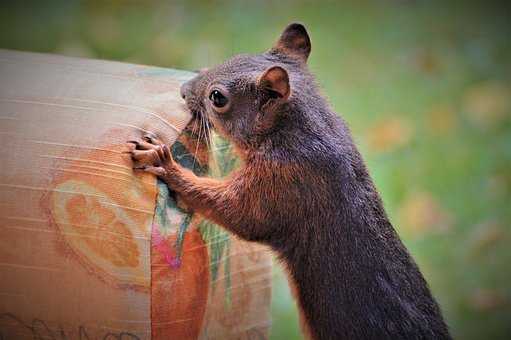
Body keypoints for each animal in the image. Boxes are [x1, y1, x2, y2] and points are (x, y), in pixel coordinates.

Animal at [127, 22, 452, 338]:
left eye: (217, 98)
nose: (184, 90)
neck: (297, 132)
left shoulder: (285, 183)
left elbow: (240, 213)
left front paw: (167, 164)